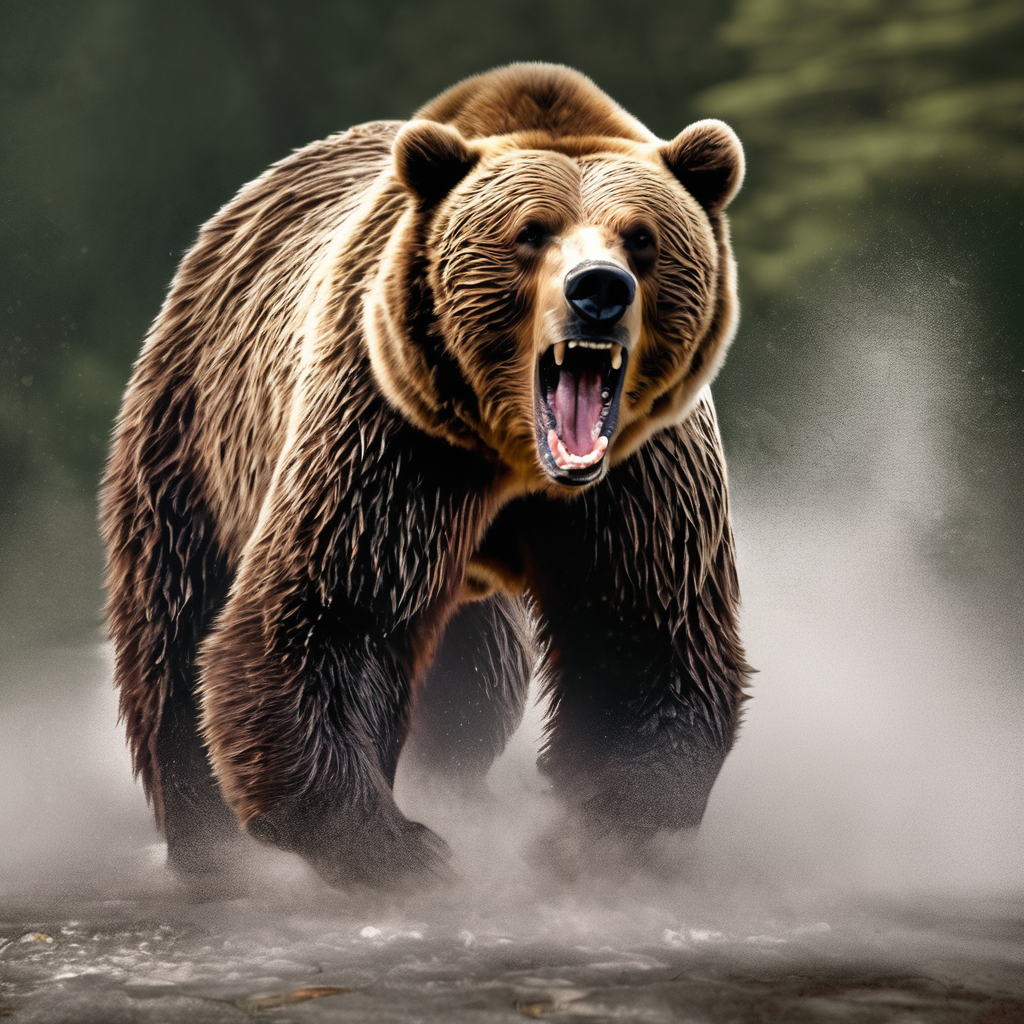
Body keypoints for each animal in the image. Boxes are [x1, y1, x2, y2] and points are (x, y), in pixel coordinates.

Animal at [101, 62, 751, 893]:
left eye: (642, 236)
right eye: (530, 231)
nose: (599, 291)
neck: (516, 455)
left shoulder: (643, 479)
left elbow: (643, 630)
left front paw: (589, 835)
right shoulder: (388, 436)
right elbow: (330, 615)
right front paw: (399, 847)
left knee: (476, 675)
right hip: (192, 431)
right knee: (175, 621)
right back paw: (206, 845)